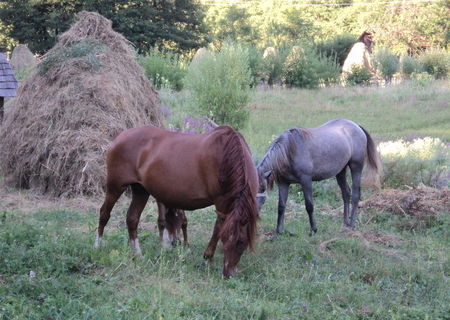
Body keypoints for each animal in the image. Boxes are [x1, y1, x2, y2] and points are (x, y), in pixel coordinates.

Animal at [93, 125, 258, 278]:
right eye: (225, 241)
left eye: (242, 242)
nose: (228, 274)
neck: (226, 156)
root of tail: (120, 136)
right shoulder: (221, 202)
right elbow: (218, 229)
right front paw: (208, 257)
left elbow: (218, 227)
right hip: (115, 186)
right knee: (104, 213)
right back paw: (97, 245)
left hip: (141, 190)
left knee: (132, 219)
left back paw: (138, 254)